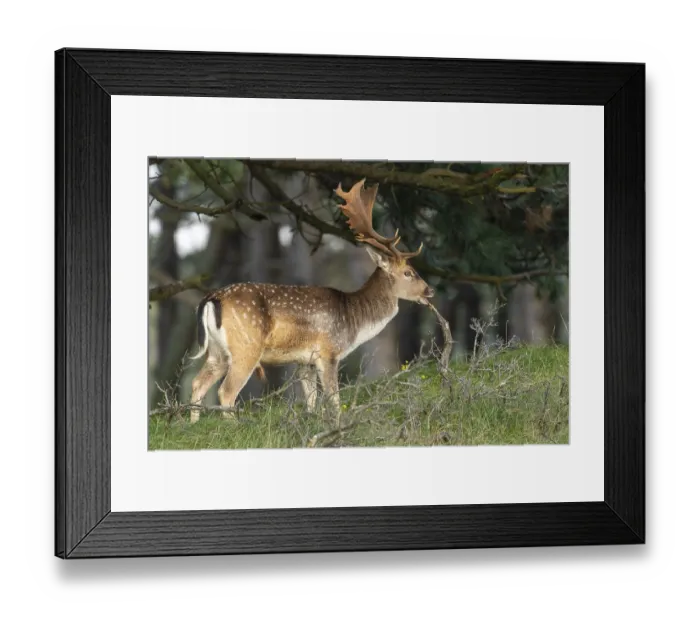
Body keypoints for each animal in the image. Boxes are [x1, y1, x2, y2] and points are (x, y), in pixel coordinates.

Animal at [188, 178, 434, 424]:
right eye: (409, 273)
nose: (429, 290)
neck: (354, 318)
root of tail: (211, 298)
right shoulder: (329, 351)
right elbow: (333, 400)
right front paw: (337, 425)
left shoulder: (304, 361)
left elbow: (311, 402)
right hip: (246, 346)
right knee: (226, 391)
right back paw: (233, 426)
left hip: (217, 352)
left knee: (197, 383)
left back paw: (192, 424)